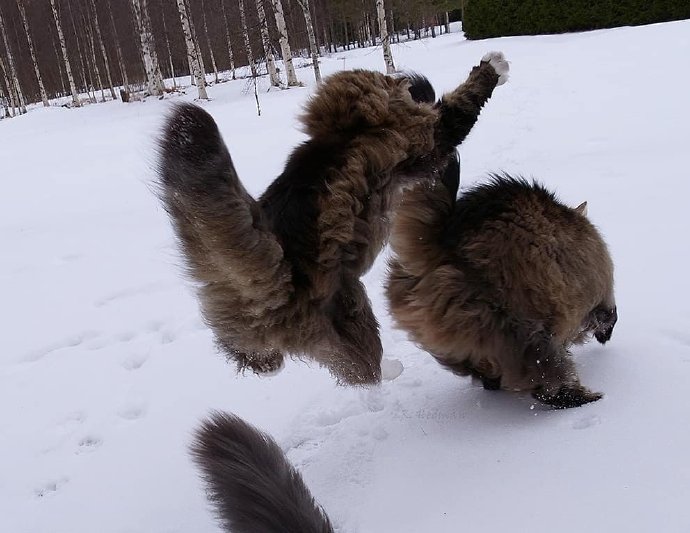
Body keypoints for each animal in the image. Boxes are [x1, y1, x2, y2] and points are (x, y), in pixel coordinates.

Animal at [159, 52, 508, 384]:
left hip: (253, 334)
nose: (401, 81)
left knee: (258, 358)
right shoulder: (428, 140)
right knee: (364, 371)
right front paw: (493, 66)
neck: (347, 131)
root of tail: (270, 283)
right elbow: (462, 102)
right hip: (352, 313)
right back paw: (392, 368)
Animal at [384, 156, 616, 406]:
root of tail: (441, 250)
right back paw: (580, 396)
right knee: (548, 378)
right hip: (522, 329)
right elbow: (607, 316)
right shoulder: (595, 291)